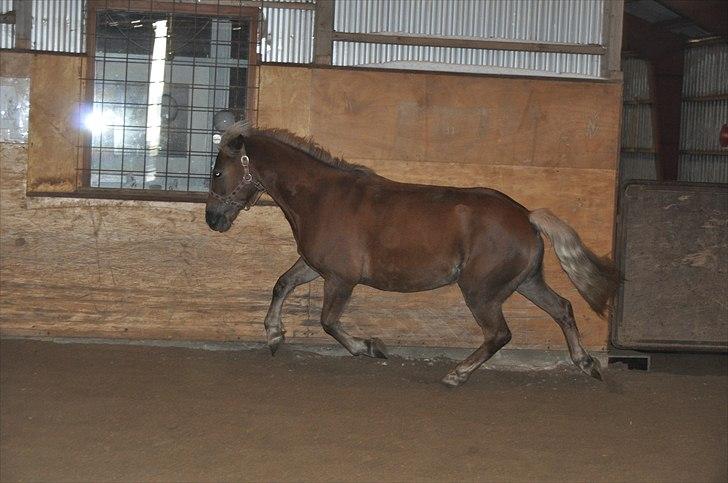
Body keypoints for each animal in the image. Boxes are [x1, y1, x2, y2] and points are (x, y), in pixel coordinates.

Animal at [205, 122, 619, 387]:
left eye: (217, 173)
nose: (212, 219)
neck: (321, 197)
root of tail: (526, 215)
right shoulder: (314, 267)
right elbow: (282, 284)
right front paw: (274, 335)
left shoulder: (340, 279)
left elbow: (328, 321)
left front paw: (370, 347)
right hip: (525, 283)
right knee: (562, 308)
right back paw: (586, 363)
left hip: (482, 292)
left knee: (499, 334)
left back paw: (457, 374)